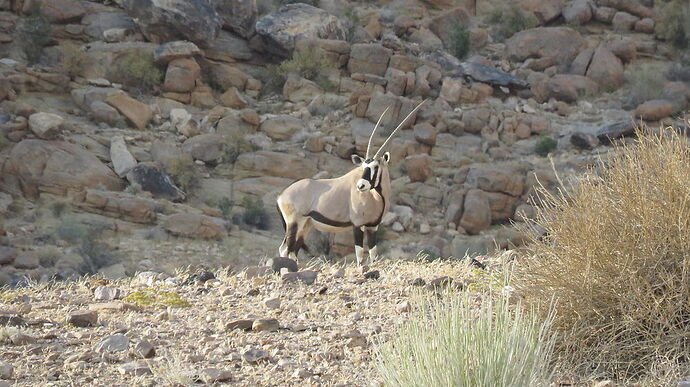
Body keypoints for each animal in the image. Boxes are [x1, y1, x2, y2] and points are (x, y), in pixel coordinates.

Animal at [276, 99, 424, 266]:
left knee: (293, 251)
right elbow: (360, 253)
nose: (361, 186)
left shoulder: (373, 227)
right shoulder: (357, 225)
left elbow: (373, 253)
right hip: (294, 223)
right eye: (363, 166)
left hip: (305, 225)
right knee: (285, 249)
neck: (377, 197)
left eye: (375, 167)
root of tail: (281, 195)